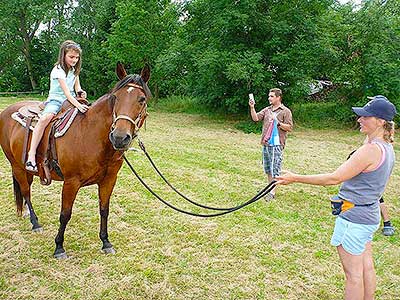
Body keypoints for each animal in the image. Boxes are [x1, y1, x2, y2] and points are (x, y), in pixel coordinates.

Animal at [0, 62, 151, 258]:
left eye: (142, 99)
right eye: (116, 97)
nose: (119, 137)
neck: (90, 134)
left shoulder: (109, 180)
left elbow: (104, 210)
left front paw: (106, 242)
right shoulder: (71, 182)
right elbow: (65, 214)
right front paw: (59, 247)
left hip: (27, 170)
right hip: (16, 166)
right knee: (25, 191)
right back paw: (35, 222)